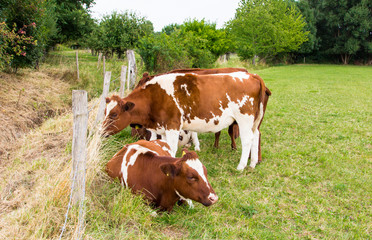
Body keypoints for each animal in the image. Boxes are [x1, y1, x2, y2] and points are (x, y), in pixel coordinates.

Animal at [103, 66, 268, 170]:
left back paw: (241, 166)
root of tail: (251, 76)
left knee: (247, 139)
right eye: (105, 111)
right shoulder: (163, 128)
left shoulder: (173, 125)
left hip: (244, 119)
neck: (155, 96)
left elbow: (171, 148)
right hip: (254, 121)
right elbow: (162, 146)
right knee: (256, 136)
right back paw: (253, 163)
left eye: (114, 114)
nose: (101, 132)